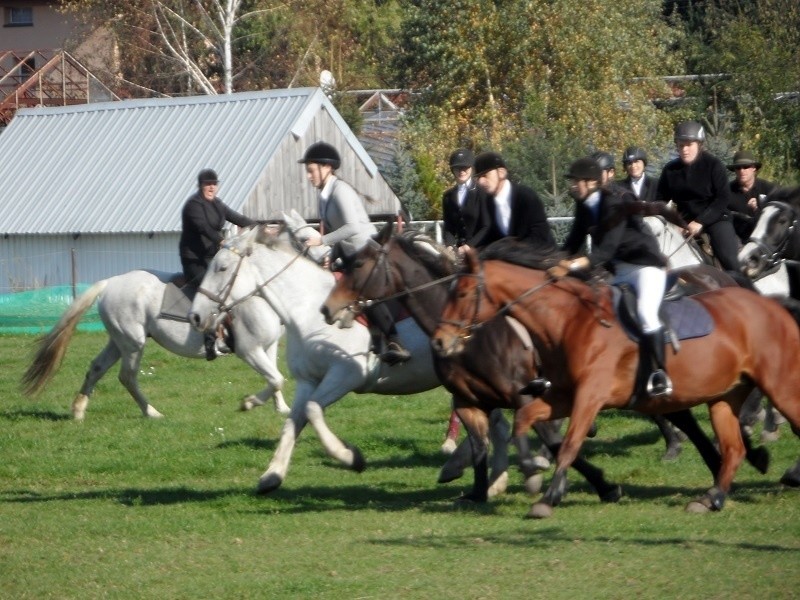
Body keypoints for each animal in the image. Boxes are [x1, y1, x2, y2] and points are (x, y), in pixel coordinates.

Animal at [20, 270, 290, 420]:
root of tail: (110, 282)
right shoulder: (250, 350)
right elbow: (275, 378)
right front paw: (251, 403)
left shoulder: (269, 345)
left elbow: (274, 377)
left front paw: (282, 409)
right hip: (133, 343)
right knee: (127, 376)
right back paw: (151, 412)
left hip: (118, 341)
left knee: (96, 368)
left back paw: (78, 411)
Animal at [189, 225, 506, 496]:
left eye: (222, 268)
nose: (195, 316)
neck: (306, 311)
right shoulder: (308, 381)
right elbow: (292, 423)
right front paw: (272, 475)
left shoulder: (344, 376)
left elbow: (313, 411)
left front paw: (350, 457)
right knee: (495, 423)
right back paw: (485, 477)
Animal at [432, 237, 800, 516]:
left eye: (462, 293)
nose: (439, 342)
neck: (568, 320)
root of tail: (772, 305)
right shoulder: (561, 396)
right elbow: (526, 419)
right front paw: (531, 469)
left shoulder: (590, 396)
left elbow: (569, 443)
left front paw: (550, 496)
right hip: (724, 397)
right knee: (733, 447)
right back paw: (713, 497)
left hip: (780, 386)